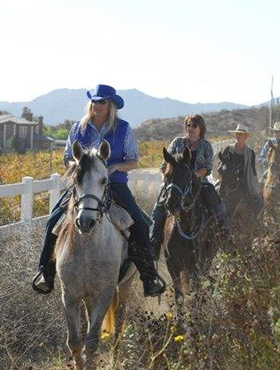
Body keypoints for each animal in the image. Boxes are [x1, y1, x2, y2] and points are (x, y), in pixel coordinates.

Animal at [54, 140, 136, 368]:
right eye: (76, 180)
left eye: (104, 180)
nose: (85, 222)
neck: (88, 250)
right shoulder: (70, 295)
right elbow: (74, 341)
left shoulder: (104, 294)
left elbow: (92, 340)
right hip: (88, 297)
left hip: (124, 285)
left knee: (119, 322)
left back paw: (115, 360)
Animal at [161, 147, 218, 312]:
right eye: (167, 175)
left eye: (186, 174)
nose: (171, 204)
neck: (186, 226)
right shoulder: (172, 265)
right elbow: (179, 297)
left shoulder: (197, 266)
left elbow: (197, 293)